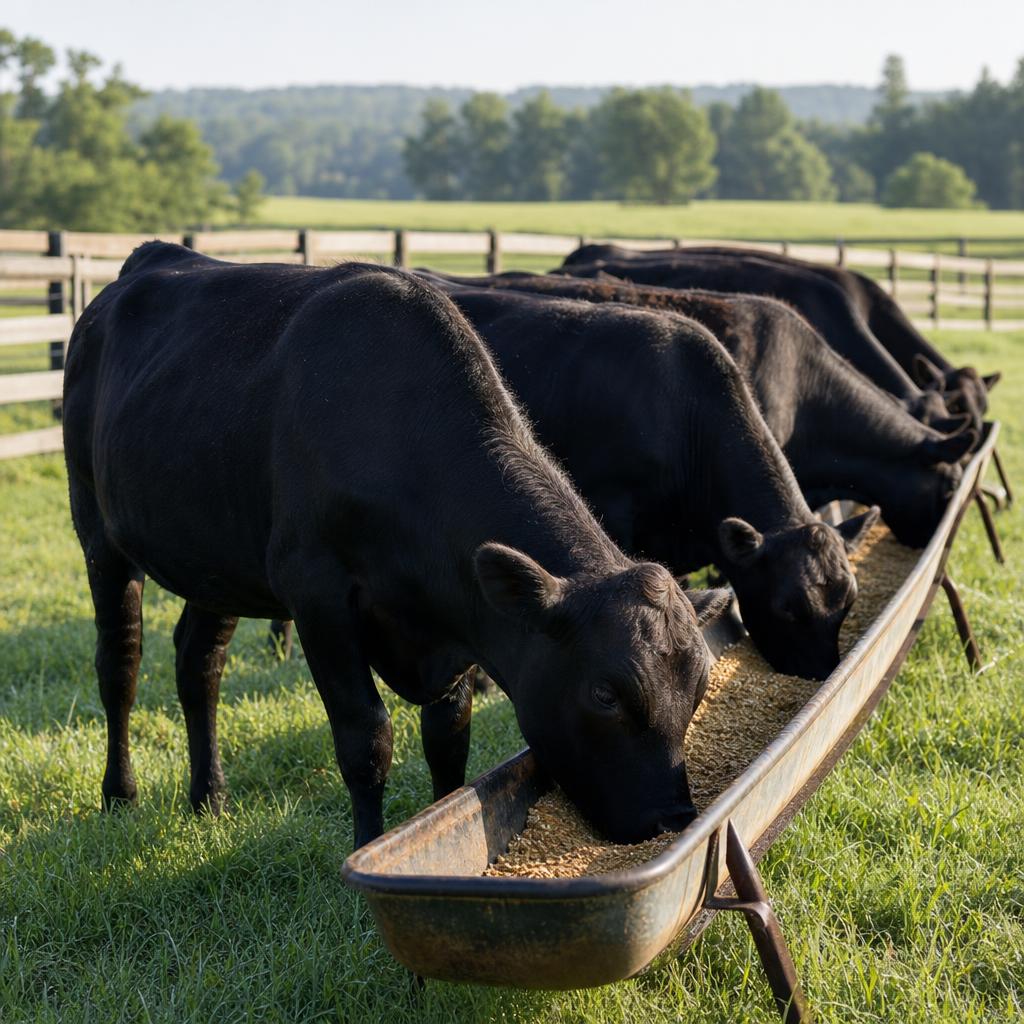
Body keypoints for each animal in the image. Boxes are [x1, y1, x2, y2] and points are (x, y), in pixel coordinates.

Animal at [63, 242, 731, 847]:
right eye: (604, 693)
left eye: (700, 689)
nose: (671, 819)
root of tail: (150, 258)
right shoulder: (318, 596)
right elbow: (366, 739)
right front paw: (367, 846)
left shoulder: (459, 617)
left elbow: (449, 735)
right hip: (98, 530)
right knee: (119, 660)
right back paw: (120, 794)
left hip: (219, 557)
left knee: (198, 662)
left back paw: (210, 797)